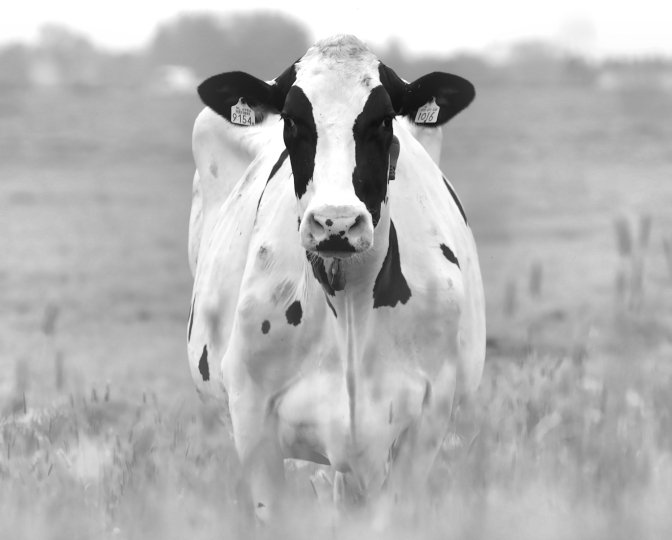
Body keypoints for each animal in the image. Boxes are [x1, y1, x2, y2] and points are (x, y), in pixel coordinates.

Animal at [187, 35, 485, 520]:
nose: (336, 223)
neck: (349, 306)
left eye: (383, 119)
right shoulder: (252, 422)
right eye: (293, 119)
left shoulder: (425, 421)